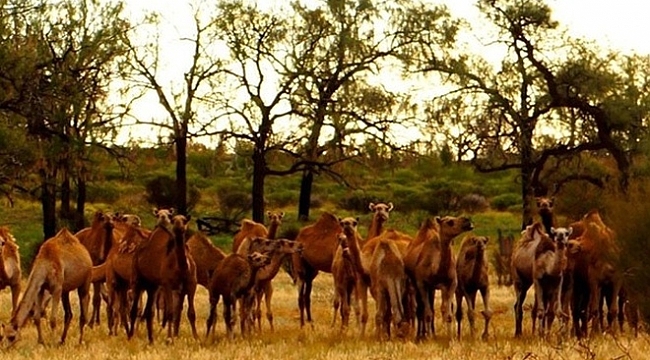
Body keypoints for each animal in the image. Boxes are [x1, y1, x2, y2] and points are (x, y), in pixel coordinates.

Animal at [126, 212, 197, 344]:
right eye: (173, 220)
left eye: (184, 220)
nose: (178, 226)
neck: (182, 267)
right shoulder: (167, 284)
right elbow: (170, 312)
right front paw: (169, 339)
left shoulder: (192, 284)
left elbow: (191, 313)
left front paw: (196, 338)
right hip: (137, 279)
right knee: (134, 309)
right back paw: (130, 336)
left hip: (152, 286)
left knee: (149, 311)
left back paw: (151, 340)